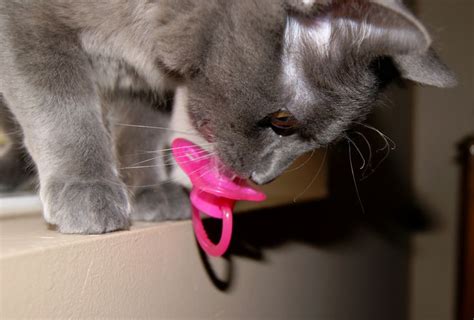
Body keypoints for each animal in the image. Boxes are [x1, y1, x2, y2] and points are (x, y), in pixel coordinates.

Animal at [0, 1, 454, 234]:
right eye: (283, 120)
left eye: (320, 143)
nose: (264, 177)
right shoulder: (27, 21)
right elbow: (63, 107)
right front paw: (86, 188)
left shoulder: (142, 83)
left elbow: (138, 134)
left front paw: (150, 191)